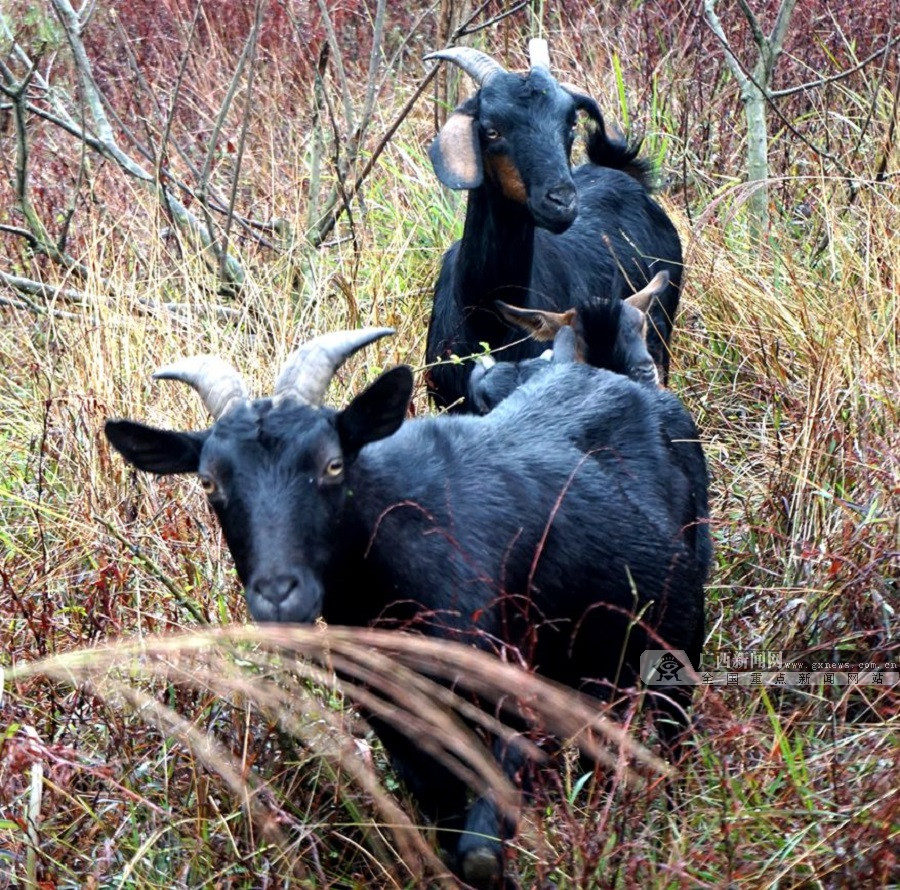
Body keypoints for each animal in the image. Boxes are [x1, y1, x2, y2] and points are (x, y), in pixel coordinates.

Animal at [105, 328, 712, 888]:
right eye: (209, 481)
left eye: (333, 464)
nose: (279, 594)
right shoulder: (400, 723)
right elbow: (446, 827)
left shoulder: (514, 697)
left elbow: (480, 853)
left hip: (677, 642)